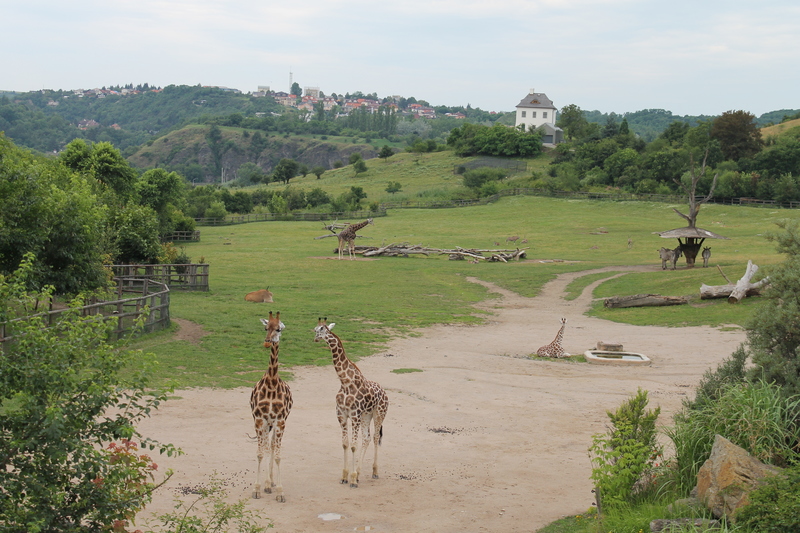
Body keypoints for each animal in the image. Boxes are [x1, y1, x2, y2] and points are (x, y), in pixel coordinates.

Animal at [312, 316, 388, 486]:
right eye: (315, 329)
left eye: (322, 329)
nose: (315, 338)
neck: (345, 382)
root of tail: (385, 393)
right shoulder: (341, 414)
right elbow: (345, 444)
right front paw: (345, 476)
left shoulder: (354, 415)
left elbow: (353, 445)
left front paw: (352, 480)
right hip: (366, 415)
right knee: (366, 438)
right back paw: (358, 473)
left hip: (379, 414)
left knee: (375, 437)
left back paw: (374, 472)